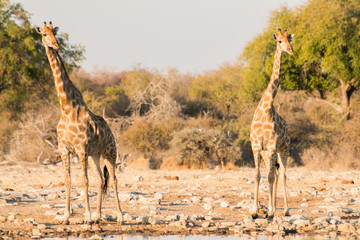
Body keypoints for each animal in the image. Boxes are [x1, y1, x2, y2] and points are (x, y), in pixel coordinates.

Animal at [35, 21, 124, 224]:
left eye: (55, 33)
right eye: (44, 34)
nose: (56, 44)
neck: (67, 108)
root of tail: (110, 131)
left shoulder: (81, 148)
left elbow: (84, 180)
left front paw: (86, 216)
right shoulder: (64, 149)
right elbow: (68, 180)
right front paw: (66, 216)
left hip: (109, 152)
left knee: (114, 179)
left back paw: (120, 216)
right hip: (94, 156)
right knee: (100, 179)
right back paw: (99, 216)